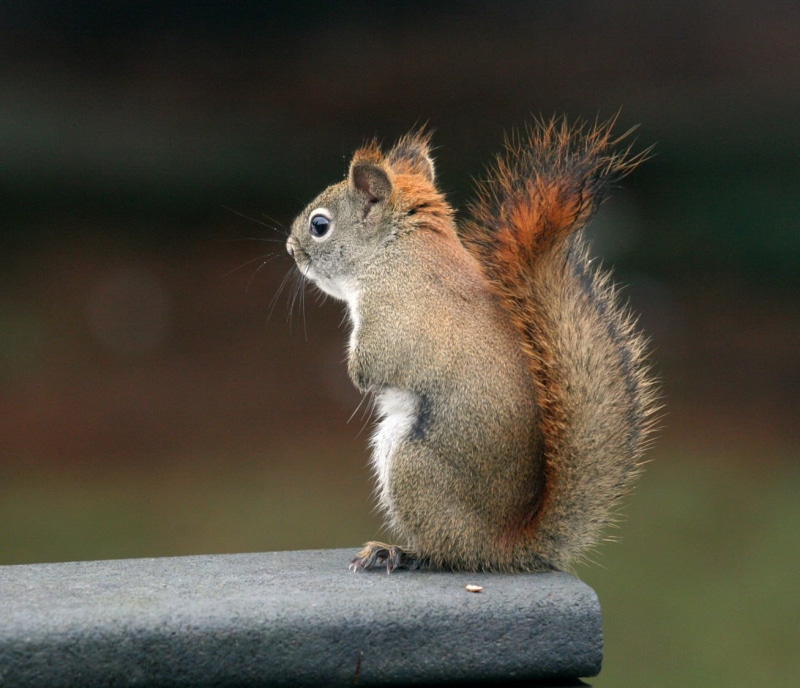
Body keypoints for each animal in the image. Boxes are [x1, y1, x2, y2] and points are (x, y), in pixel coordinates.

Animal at [286, 117, 659, 573]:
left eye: (320, 225)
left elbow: (372, 367)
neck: (396, 250)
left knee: (449, 552)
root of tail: (504, 546)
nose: (291, 249)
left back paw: (400, 551)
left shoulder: (392, 313)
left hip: (412, 467)